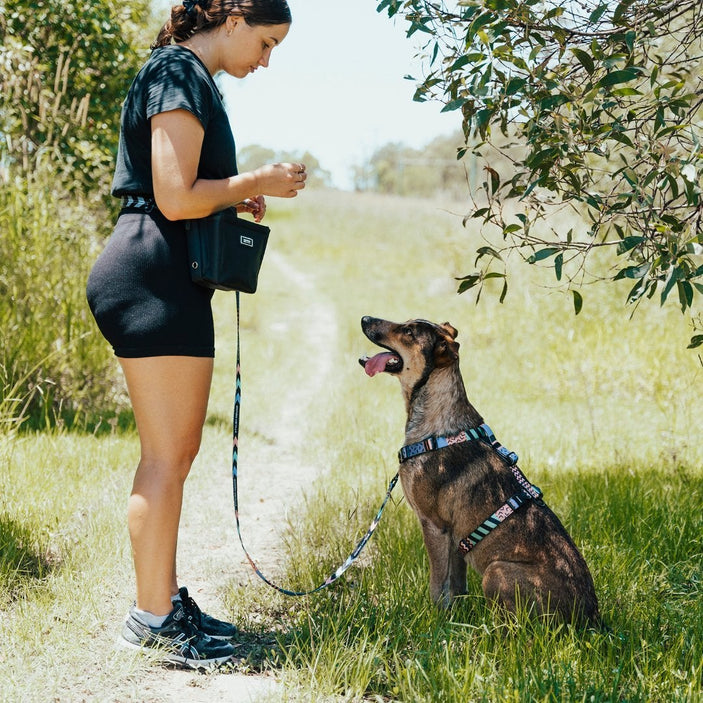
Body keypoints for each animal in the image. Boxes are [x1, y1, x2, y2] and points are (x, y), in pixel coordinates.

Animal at [364, 316, 600, 624]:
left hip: (496, 571)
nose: (364, 319)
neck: (437, 424)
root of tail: (592, 619)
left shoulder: (434, 525)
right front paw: (454, 615)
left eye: (408, 331)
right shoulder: (455, 537)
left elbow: (437, 584)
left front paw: (435, 619)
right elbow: (456, 584)